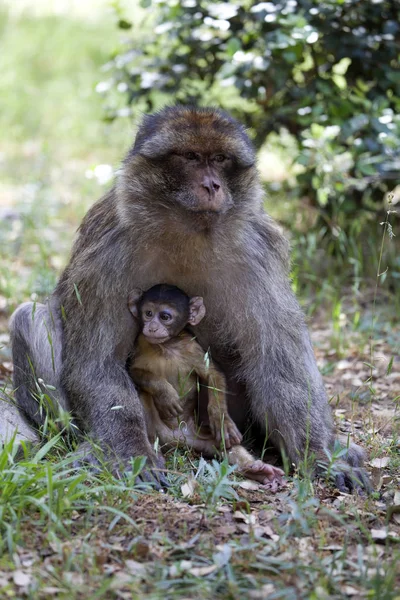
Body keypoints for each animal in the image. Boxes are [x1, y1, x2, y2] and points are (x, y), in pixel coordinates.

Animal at [128, 282, 284, 488]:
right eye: (148, 313)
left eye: (164, 317)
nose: (152, 327)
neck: (167, 347)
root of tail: (177, 439)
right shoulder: (141, 343)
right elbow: (135, 371)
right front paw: (166, 395)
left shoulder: (191, 347)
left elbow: (213, 375)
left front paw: (221, 419)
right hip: (160, 432)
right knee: (144, 395)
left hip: (198, 437)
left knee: (223, 445)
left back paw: (258, 470)